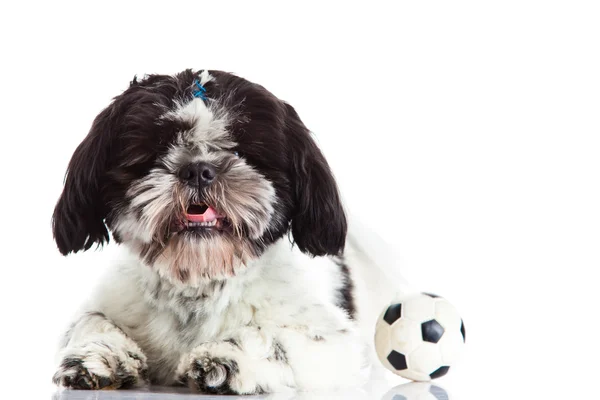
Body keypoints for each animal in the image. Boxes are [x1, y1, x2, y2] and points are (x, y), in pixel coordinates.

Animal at [51, 69, 398, 394]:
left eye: (240, 151)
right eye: (158, 150)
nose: (198, 169)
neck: (199, 284)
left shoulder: (332, 343)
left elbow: (270, 336)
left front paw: (226, 359)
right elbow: (91, 320)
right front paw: (98, 354)